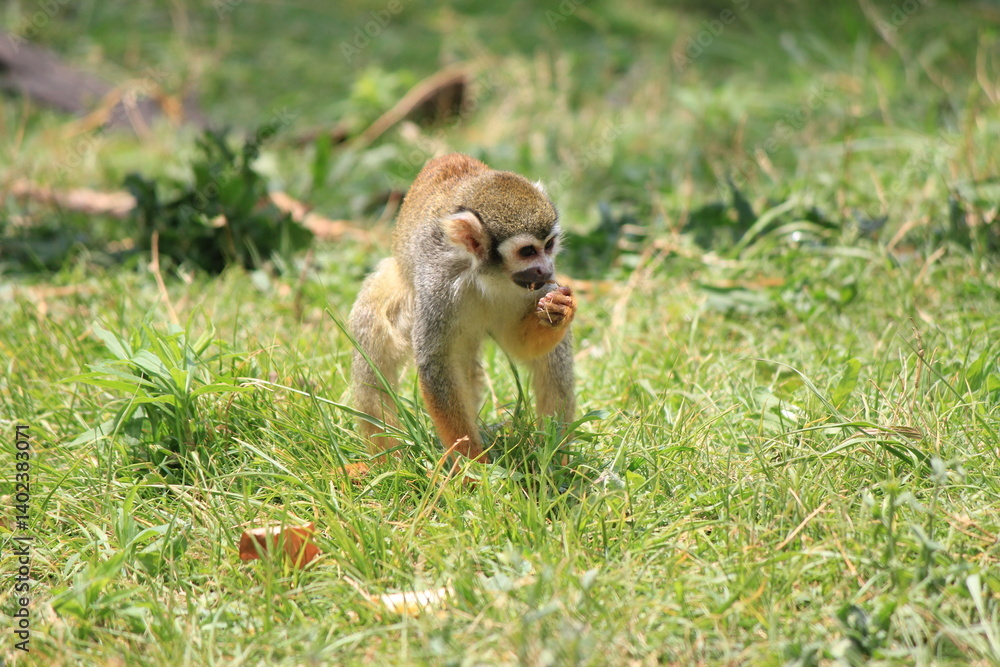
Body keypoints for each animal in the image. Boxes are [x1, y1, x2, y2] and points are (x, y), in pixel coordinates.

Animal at [348, 153, 576, 470]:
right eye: (528, 252)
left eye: (550, 245)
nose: (546, 269)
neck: (486, 274)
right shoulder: (438, 283)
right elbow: (435, 363)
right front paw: (471, 467)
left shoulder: (536, 287)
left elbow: (522, 345)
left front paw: (556, 313)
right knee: (371, 331)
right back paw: (388, 459)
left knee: (552, 360)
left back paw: (555, 458)